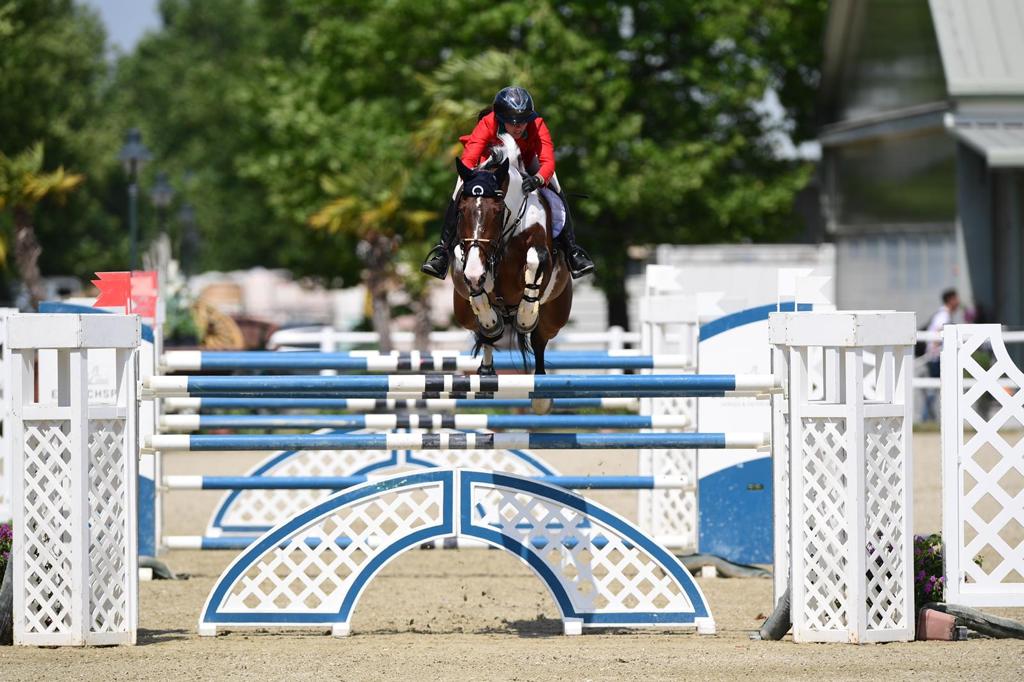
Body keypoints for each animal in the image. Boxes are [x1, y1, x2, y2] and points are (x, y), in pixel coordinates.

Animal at [450, 131, 573, 409]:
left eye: (496, 211)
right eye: (461, 210)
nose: (476, 270)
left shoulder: (538, 252)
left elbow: (535, 260)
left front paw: (526, 316)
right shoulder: (467, 257)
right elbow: (474, 278)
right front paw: (486, 309)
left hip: (555, 317)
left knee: (539, 340)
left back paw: (541, 396)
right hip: (463, 313)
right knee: (484, 334)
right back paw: (487, 360)